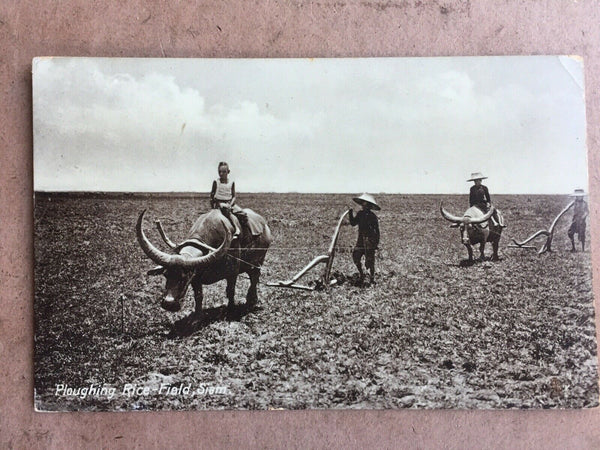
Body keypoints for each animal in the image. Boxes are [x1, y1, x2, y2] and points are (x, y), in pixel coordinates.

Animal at [137, 208, 270, 318]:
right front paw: (197, 317)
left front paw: (231, 310)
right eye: (165, 274)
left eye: (184, 277)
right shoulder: (196, 278)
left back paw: (252, 301)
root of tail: (264, 225)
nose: (168, 304)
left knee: (254, 278)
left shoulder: (232, 273)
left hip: (258, 262)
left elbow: (230, 291)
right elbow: (198, 296)